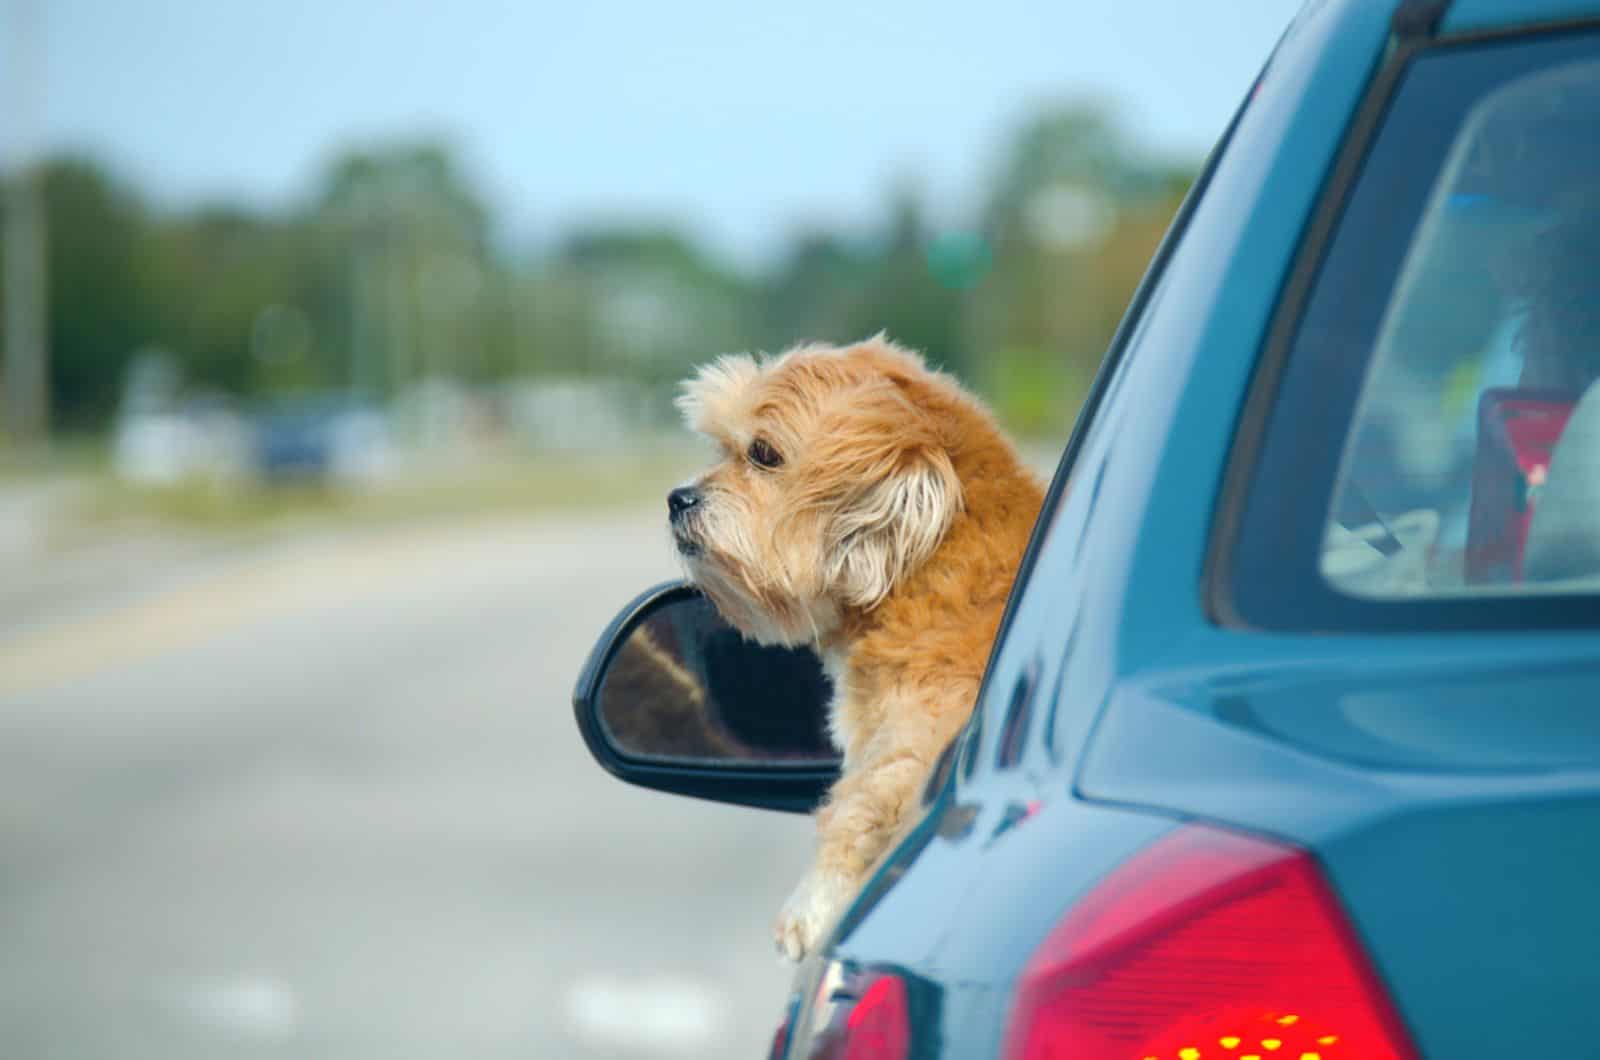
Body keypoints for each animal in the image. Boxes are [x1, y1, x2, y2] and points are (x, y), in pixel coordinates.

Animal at [668, 334, 1043, 960]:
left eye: (763, 454)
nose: (678, 498)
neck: (925, 562)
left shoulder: (925, 723)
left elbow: (864, 799)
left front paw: (814, 904)